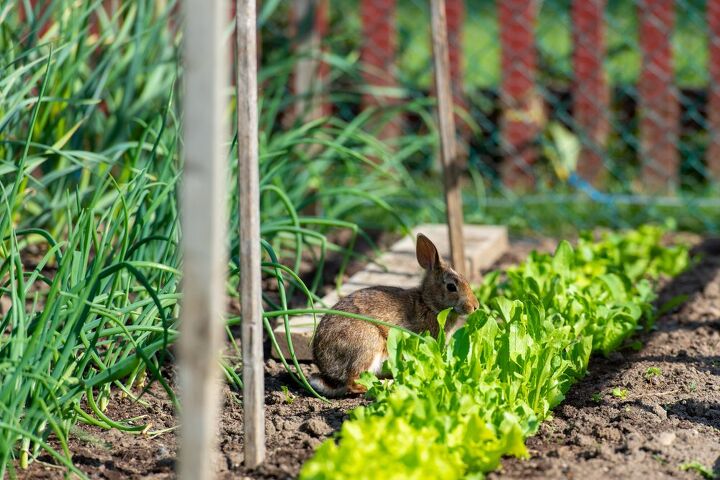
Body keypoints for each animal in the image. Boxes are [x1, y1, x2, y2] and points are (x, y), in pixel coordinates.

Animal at [310, 233, 479, 397]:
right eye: (451, 287)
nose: (475, 306)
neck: (428, 304)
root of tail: (328, 370)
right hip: (368, 343)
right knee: (354, 382)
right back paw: (388, 385)